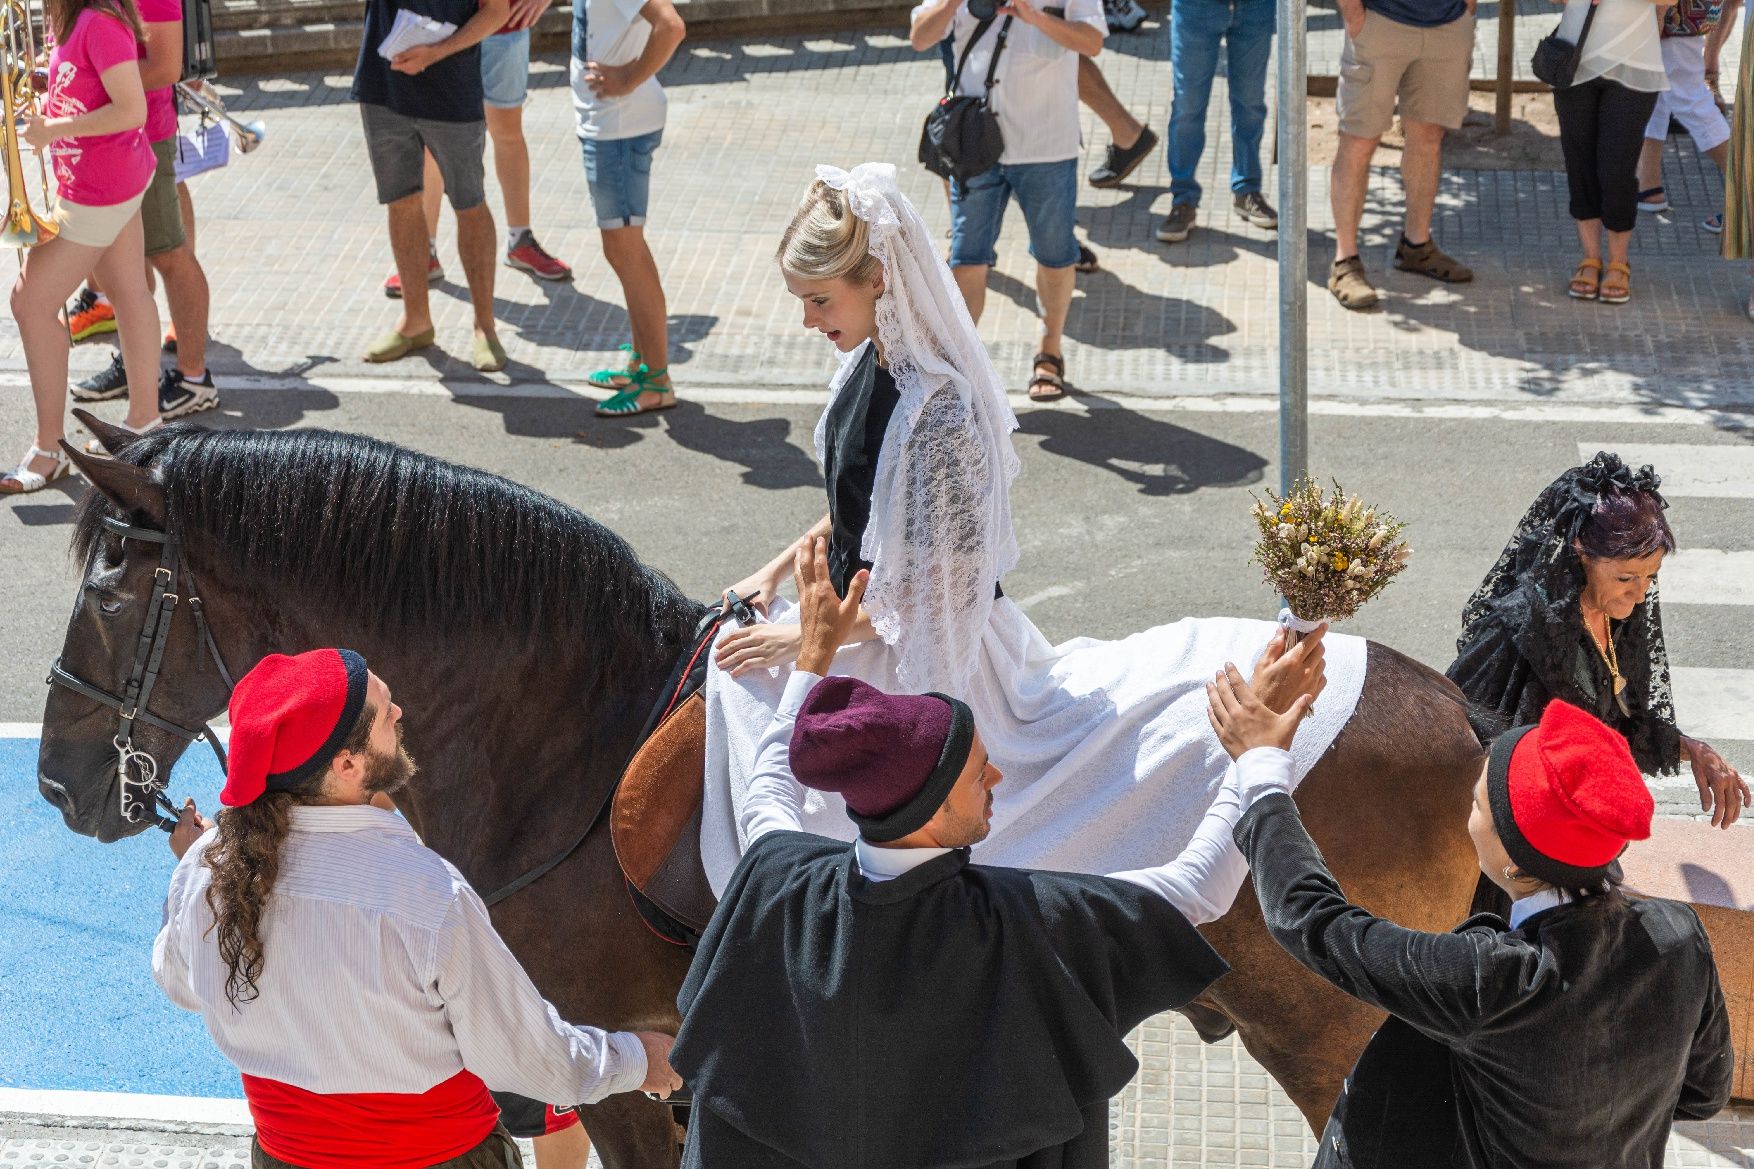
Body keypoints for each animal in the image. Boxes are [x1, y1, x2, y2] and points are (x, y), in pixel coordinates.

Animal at [30, 415, 1578, 1158]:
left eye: (107, 585)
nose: (55, 782)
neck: (564, 742)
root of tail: (1443, 701)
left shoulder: (623, 1072)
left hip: (1330, 1032)